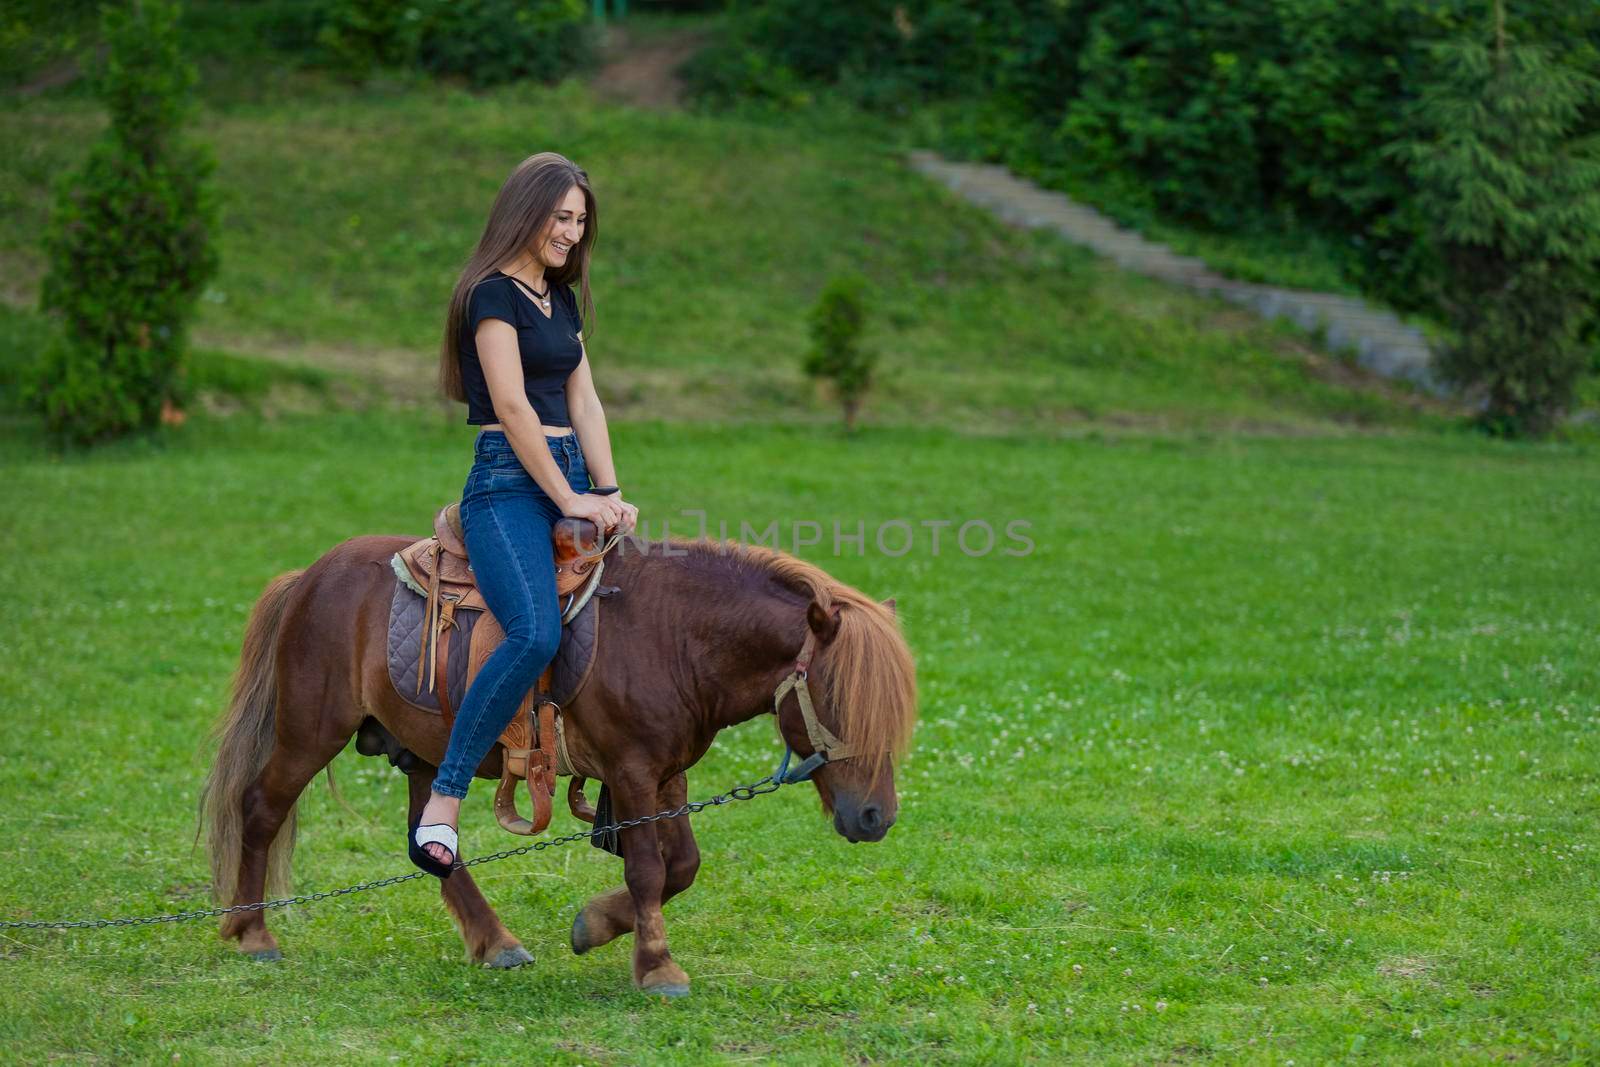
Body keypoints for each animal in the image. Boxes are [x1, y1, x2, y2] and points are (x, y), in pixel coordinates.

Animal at [196, 534, 915, 991]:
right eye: (840, 701)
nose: (876, 817)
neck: (675, 636)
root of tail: (310, 577)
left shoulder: (668, 773)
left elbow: (682, 865)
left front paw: (595, 926)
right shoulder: (630, 771)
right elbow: (650, 868)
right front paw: (656, 966)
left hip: (428, 749)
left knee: (428, 843)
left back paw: (495, 941)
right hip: (309, 731)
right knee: (259, 809)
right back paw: (252, 931)